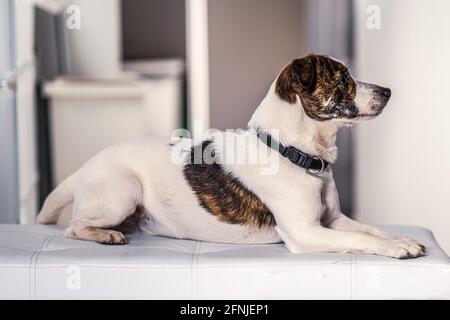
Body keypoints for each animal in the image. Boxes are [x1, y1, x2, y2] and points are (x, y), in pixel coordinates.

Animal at [37, 54, 426, 260]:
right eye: (343, 79)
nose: (388, 91)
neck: (295, 154)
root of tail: (87, 165)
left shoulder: (333, 220)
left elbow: (372, 229)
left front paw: (400, 240)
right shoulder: (306, 233)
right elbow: (361, 239)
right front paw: (396, 248)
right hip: (123, 191)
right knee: (73, 227)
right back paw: (106, 236)